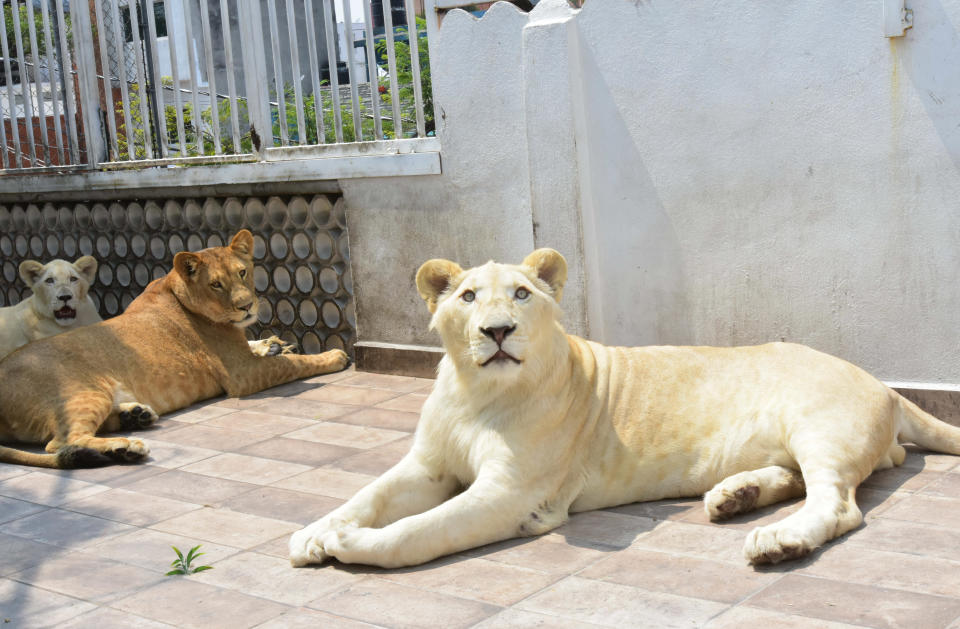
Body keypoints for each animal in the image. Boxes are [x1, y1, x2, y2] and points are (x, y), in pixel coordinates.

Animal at [288, 248, 956, 568]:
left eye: (521, 294)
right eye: (469, 297)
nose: (498, 331)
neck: (478, 394)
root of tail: (888, 387)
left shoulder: (510, 494)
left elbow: (417, 532)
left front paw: (349, 545)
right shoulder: (426, 467)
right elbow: (366, 496)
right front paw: (313, 533)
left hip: (819, 429)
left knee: (838, 506)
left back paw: (778, 541)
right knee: (797, 482)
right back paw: (733, 497)